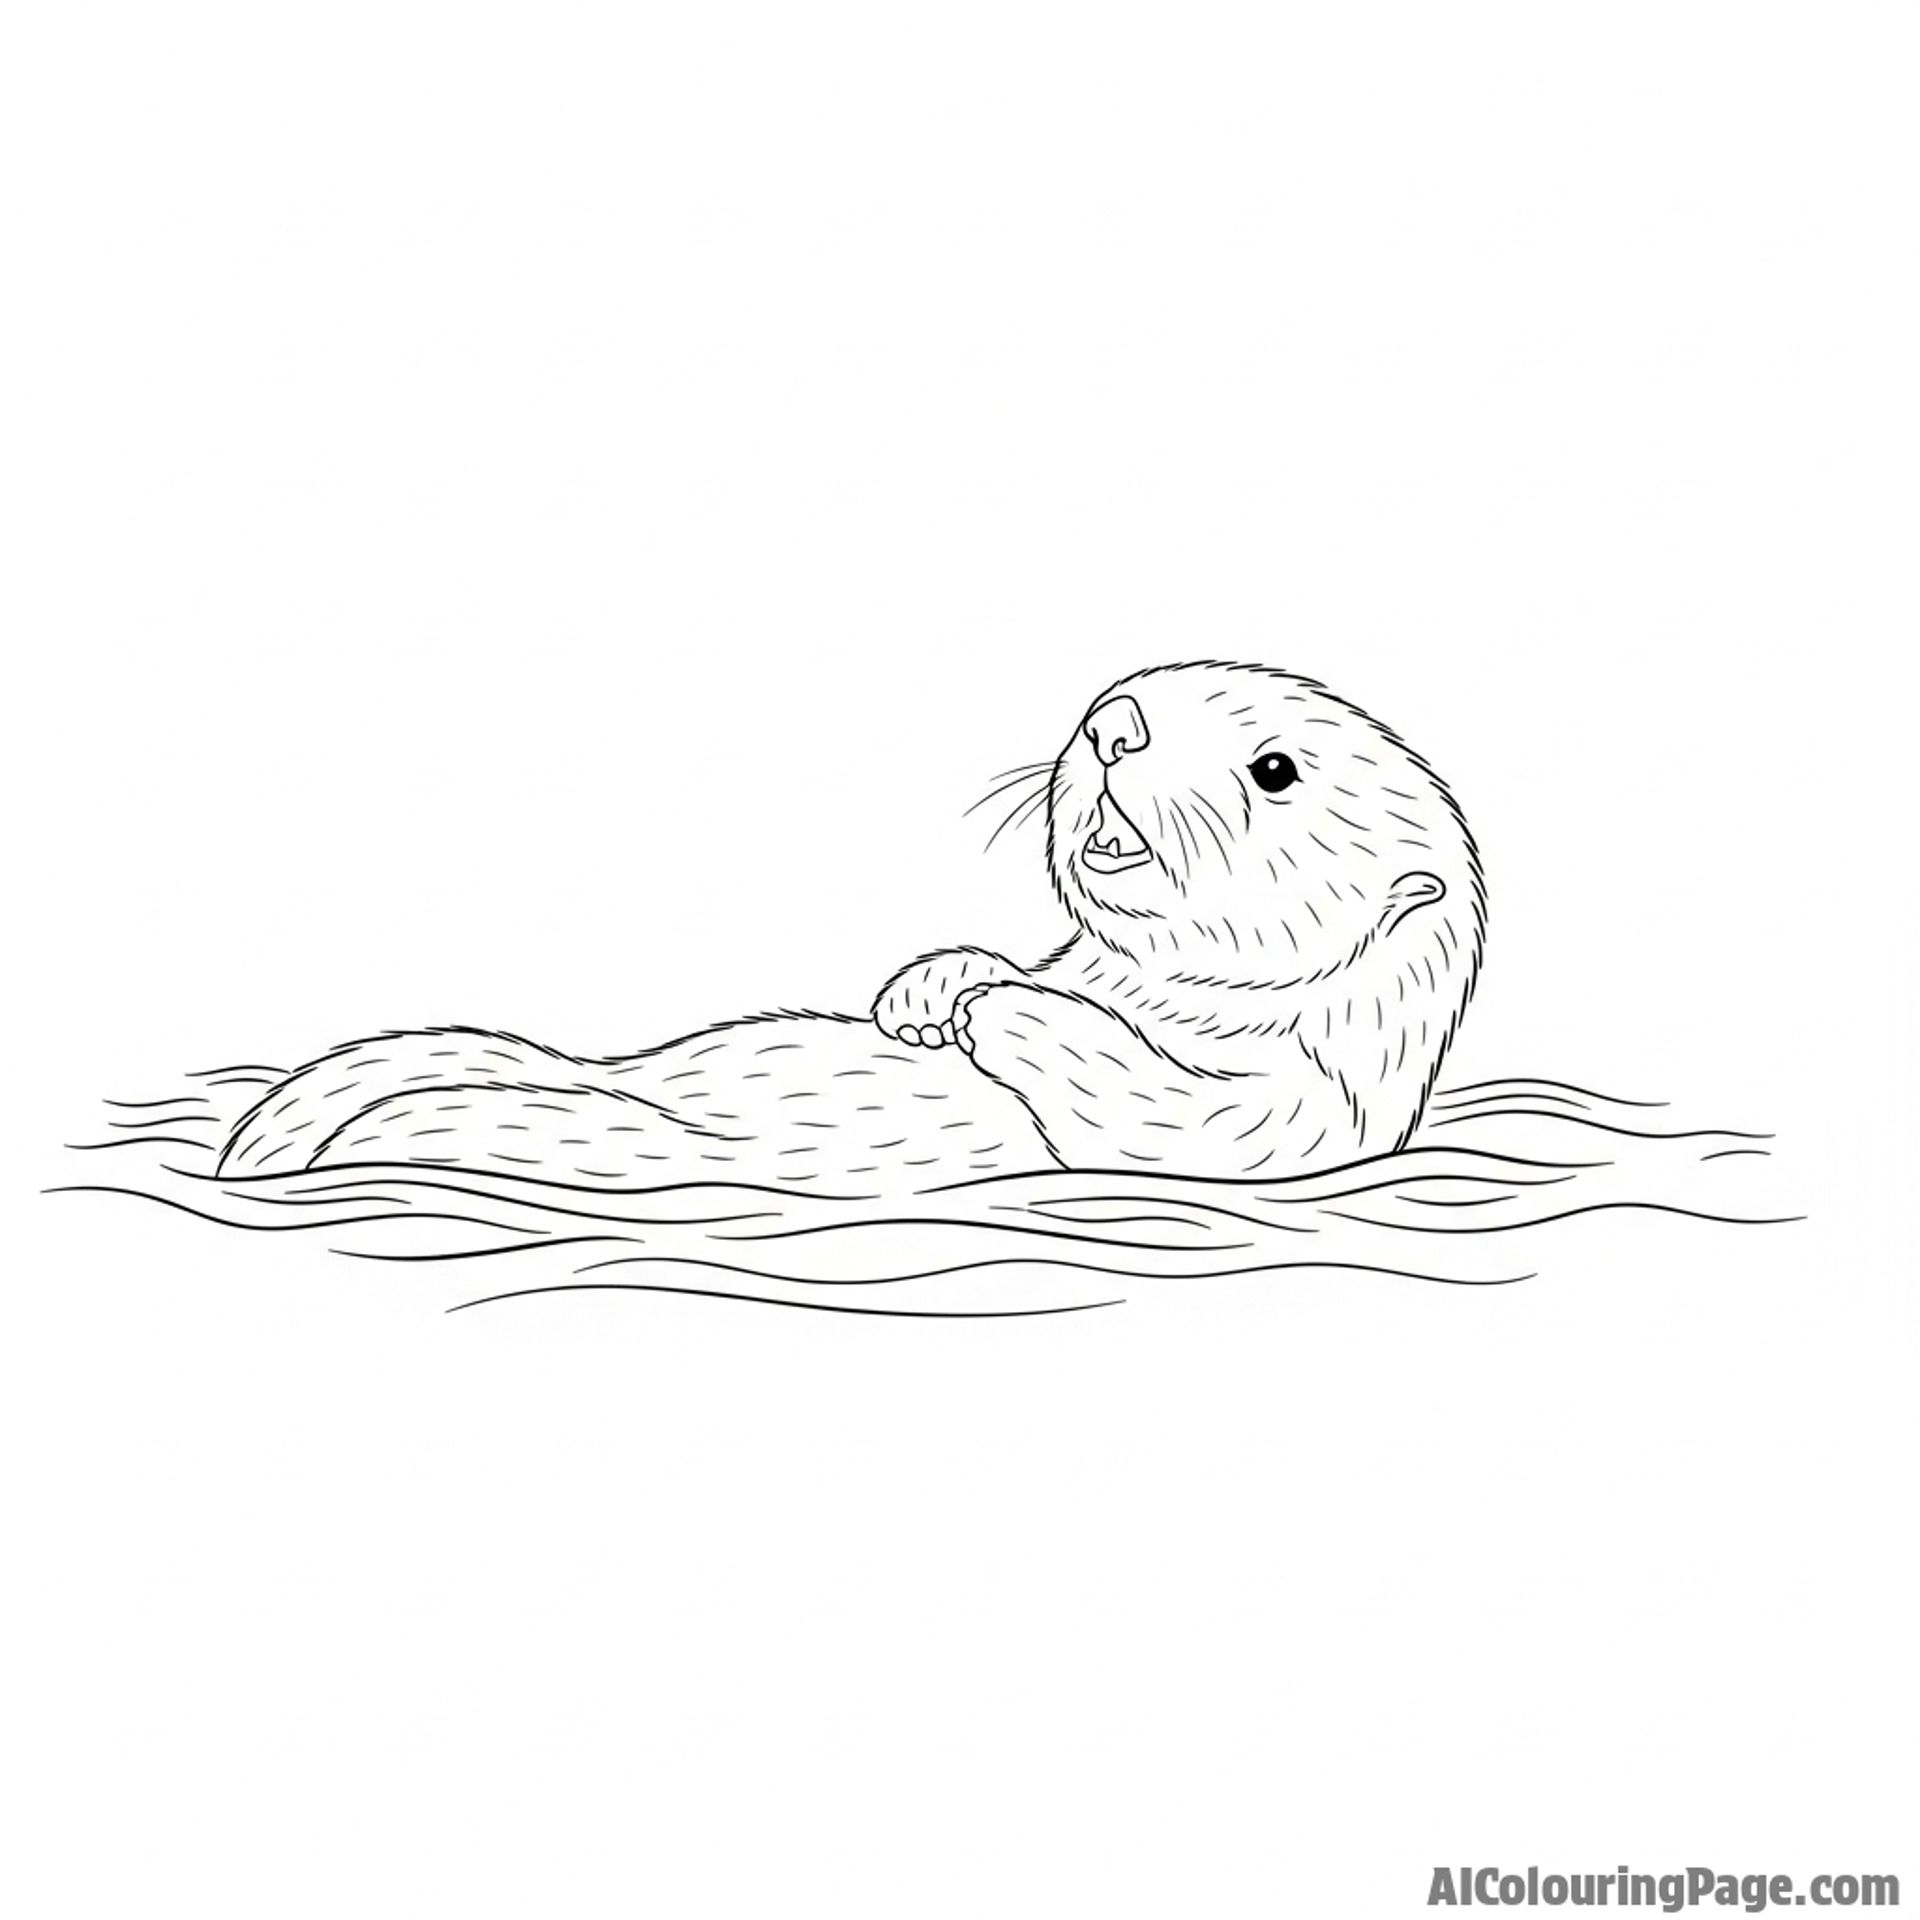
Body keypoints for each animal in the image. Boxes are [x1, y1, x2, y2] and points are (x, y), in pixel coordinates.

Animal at [220, 662, 1485, 1190]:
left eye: (1274, 770)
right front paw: (932, 986)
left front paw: (999, 1012)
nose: (1113, 722)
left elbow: (1168, 1114)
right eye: (1138, 698)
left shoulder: (1310, 1113)